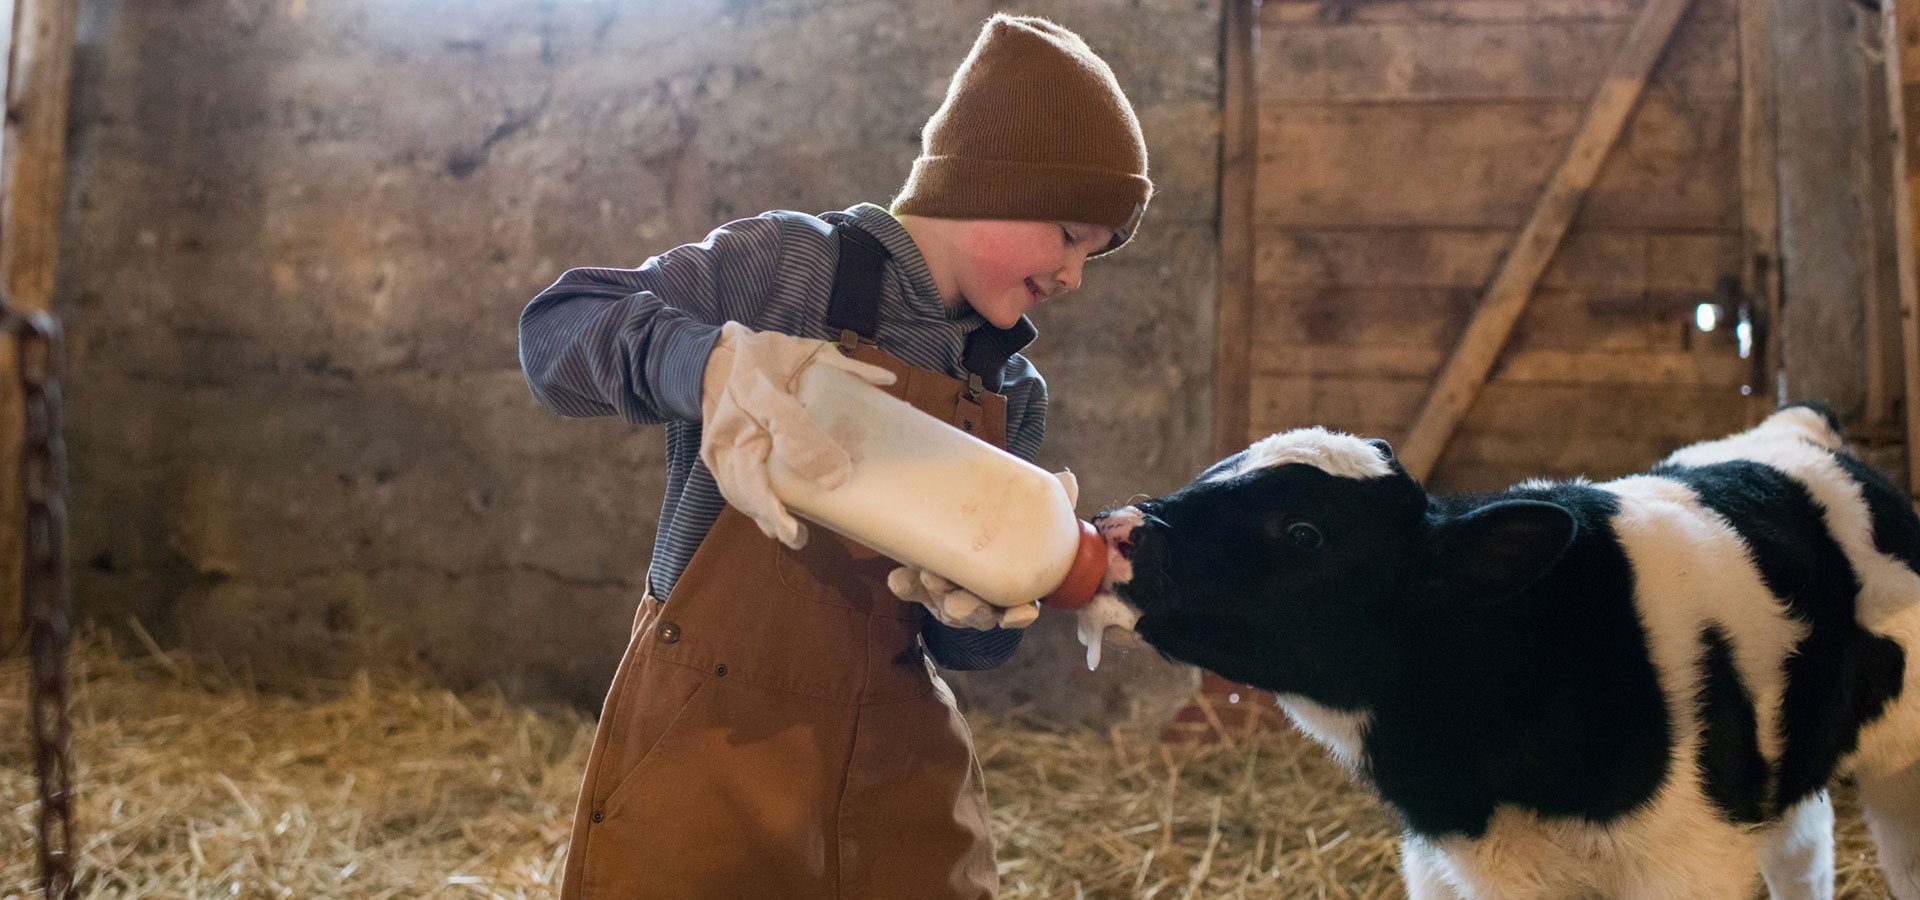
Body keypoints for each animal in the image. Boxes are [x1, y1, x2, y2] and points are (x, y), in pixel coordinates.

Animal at [1098, 406, 1920, 898]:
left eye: (1303, 533)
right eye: (1215, 469)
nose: (1119, 528)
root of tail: (1803, 427)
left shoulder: (1693, 861)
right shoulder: (1444, 867)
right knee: (1805, 850)